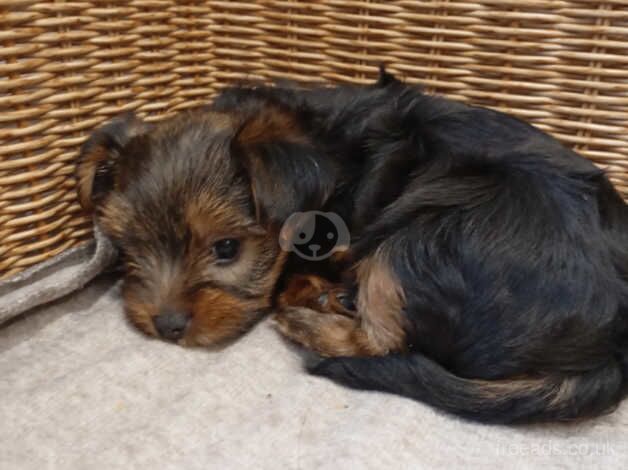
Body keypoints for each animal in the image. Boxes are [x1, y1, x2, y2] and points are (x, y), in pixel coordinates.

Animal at [78, 70, 628, 426]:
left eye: (227, 248)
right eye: (129, 248)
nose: (166, 326)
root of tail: (610, 348)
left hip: (423, 240)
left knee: (385, 339)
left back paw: (310, 321)